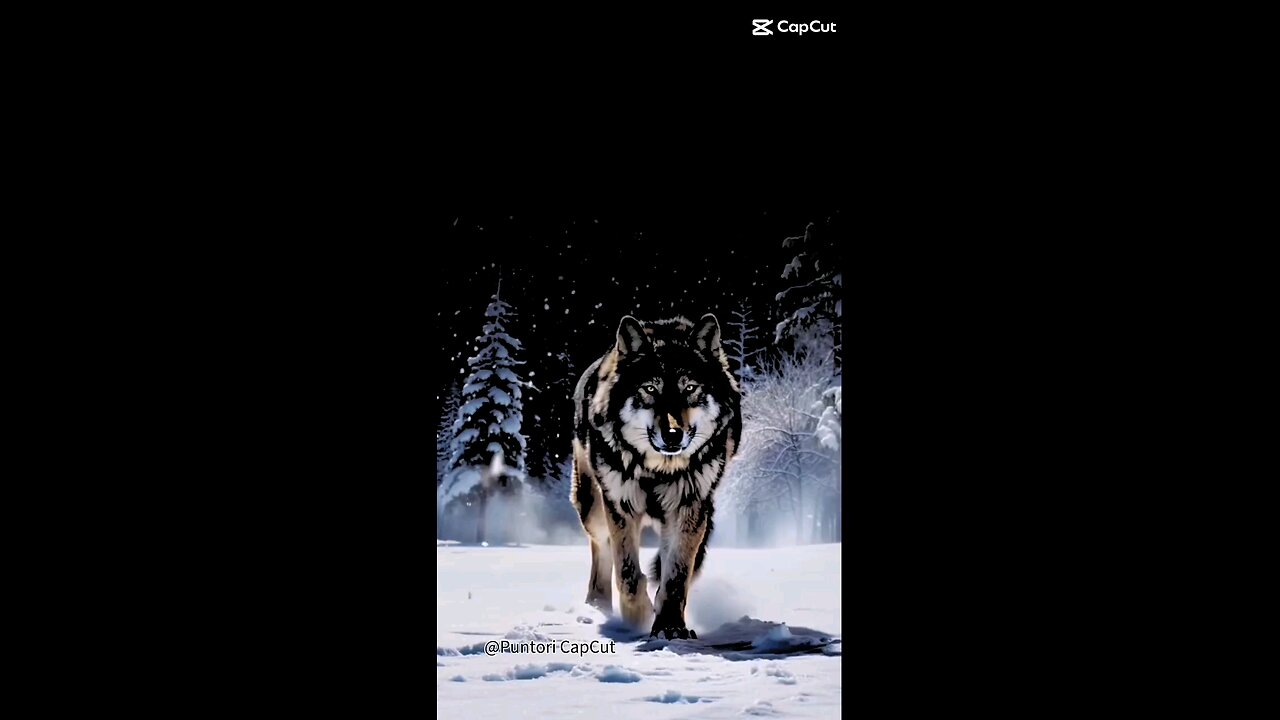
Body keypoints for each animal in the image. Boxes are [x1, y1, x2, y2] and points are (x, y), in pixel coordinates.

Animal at [570, 314, 742, 639]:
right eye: (650, 389)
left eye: (690, 388)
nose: (673, 434)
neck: (657, 471)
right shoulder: (620, 505)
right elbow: (627, 575)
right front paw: (637, 617)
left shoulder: (689, 507)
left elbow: (675, 577)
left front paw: (670, 626)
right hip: (592, 507)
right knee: (602, 549)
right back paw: (596, 606)